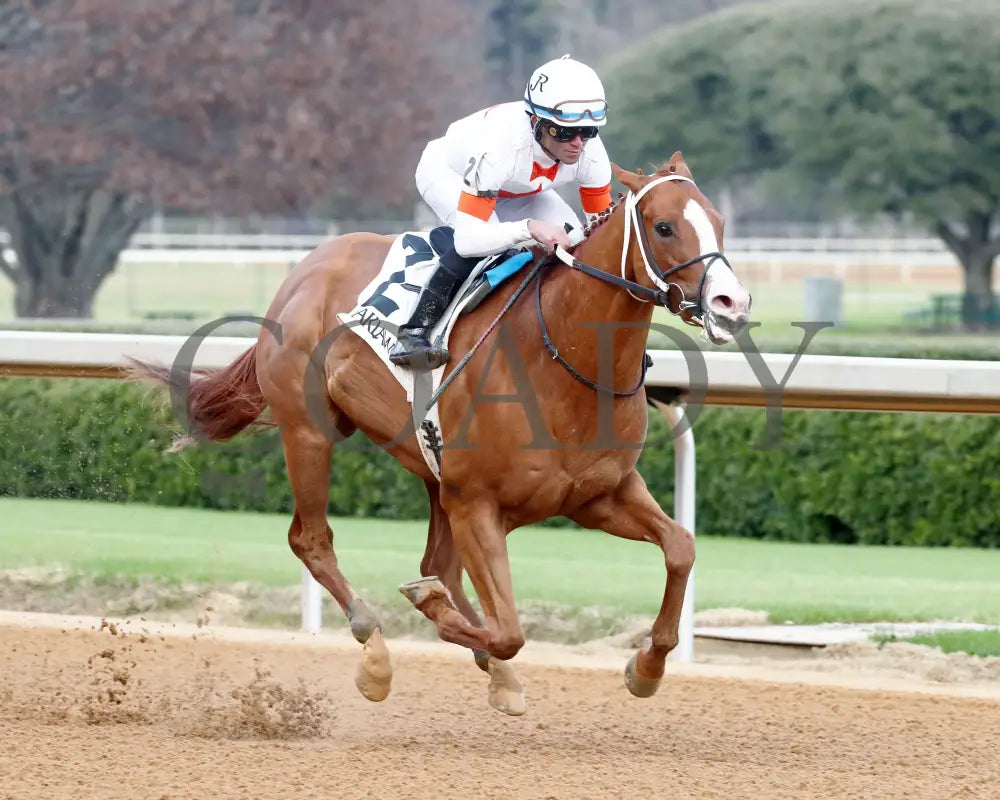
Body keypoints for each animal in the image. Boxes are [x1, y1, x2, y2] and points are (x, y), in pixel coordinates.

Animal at [127, 153, 752, 716]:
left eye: (719, 221)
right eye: (663, 226)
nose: (732, 303)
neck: (562, 360)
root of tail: (305, 270)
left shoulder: (599, 494)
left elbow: (681, 547)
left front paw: (645, 667)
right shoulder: (478, 503)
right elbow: (506, 629)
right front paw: (432, 613)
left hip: (434, 475)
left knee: (438, 563)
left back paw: (493, 671)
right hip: (309, 432)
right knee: (312, 540)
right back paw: (376, 653)